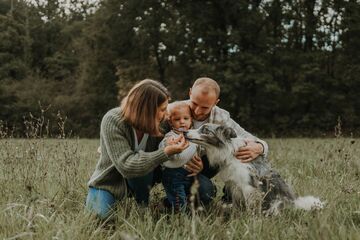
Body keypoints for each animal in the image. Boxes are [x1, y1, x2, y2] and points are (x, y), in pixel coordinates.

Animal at [186, 123, 324, 215]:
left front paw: (248, 218)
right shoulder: (233, 186)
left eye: (205, 130)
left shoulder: (248, 187)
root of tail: (295, 203)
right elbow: (236, 205)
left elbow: (249, 205)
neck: (229, 152)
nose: (185, 132)